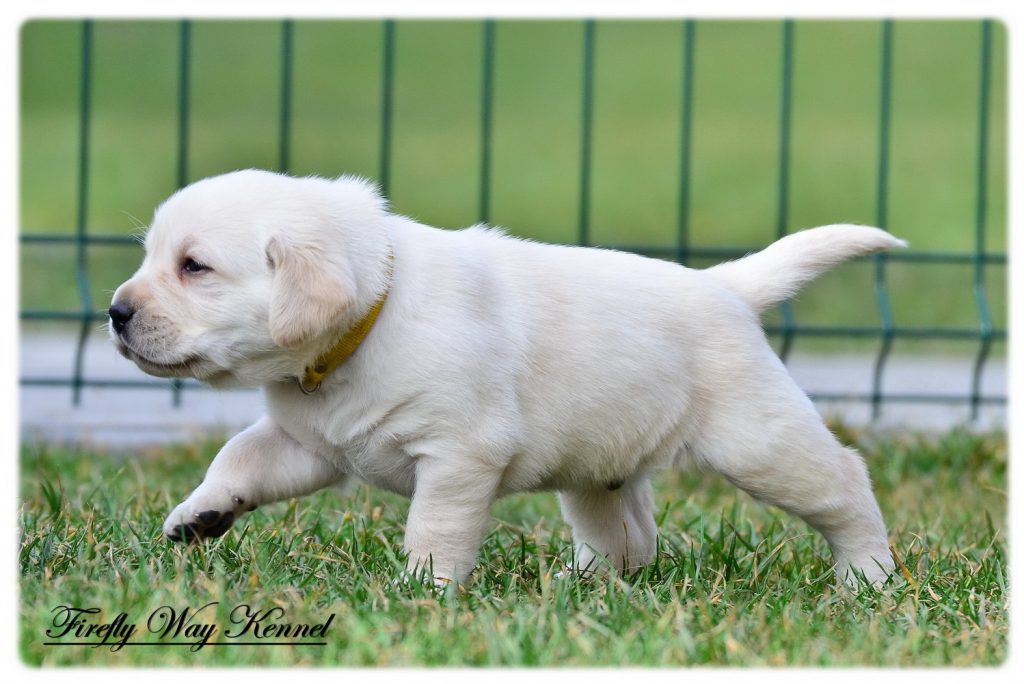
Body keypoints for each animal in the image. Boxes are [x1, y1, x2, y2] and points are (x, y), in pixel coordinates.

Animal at [109, 169, 900, 586]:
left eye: (194, 266)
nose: (116, 312)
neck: (371, 320)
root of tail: (725, 286)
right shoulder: (305, 441)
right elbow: (239, 458)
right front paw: (200, 514)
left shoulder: (459, 454)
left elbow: (434, 525)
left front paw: (424, 590)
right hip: (600, 473)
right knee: (630, 535)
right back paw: (585, 588)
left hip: (758, 440)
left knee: (845, 482)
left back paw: (867, 577)